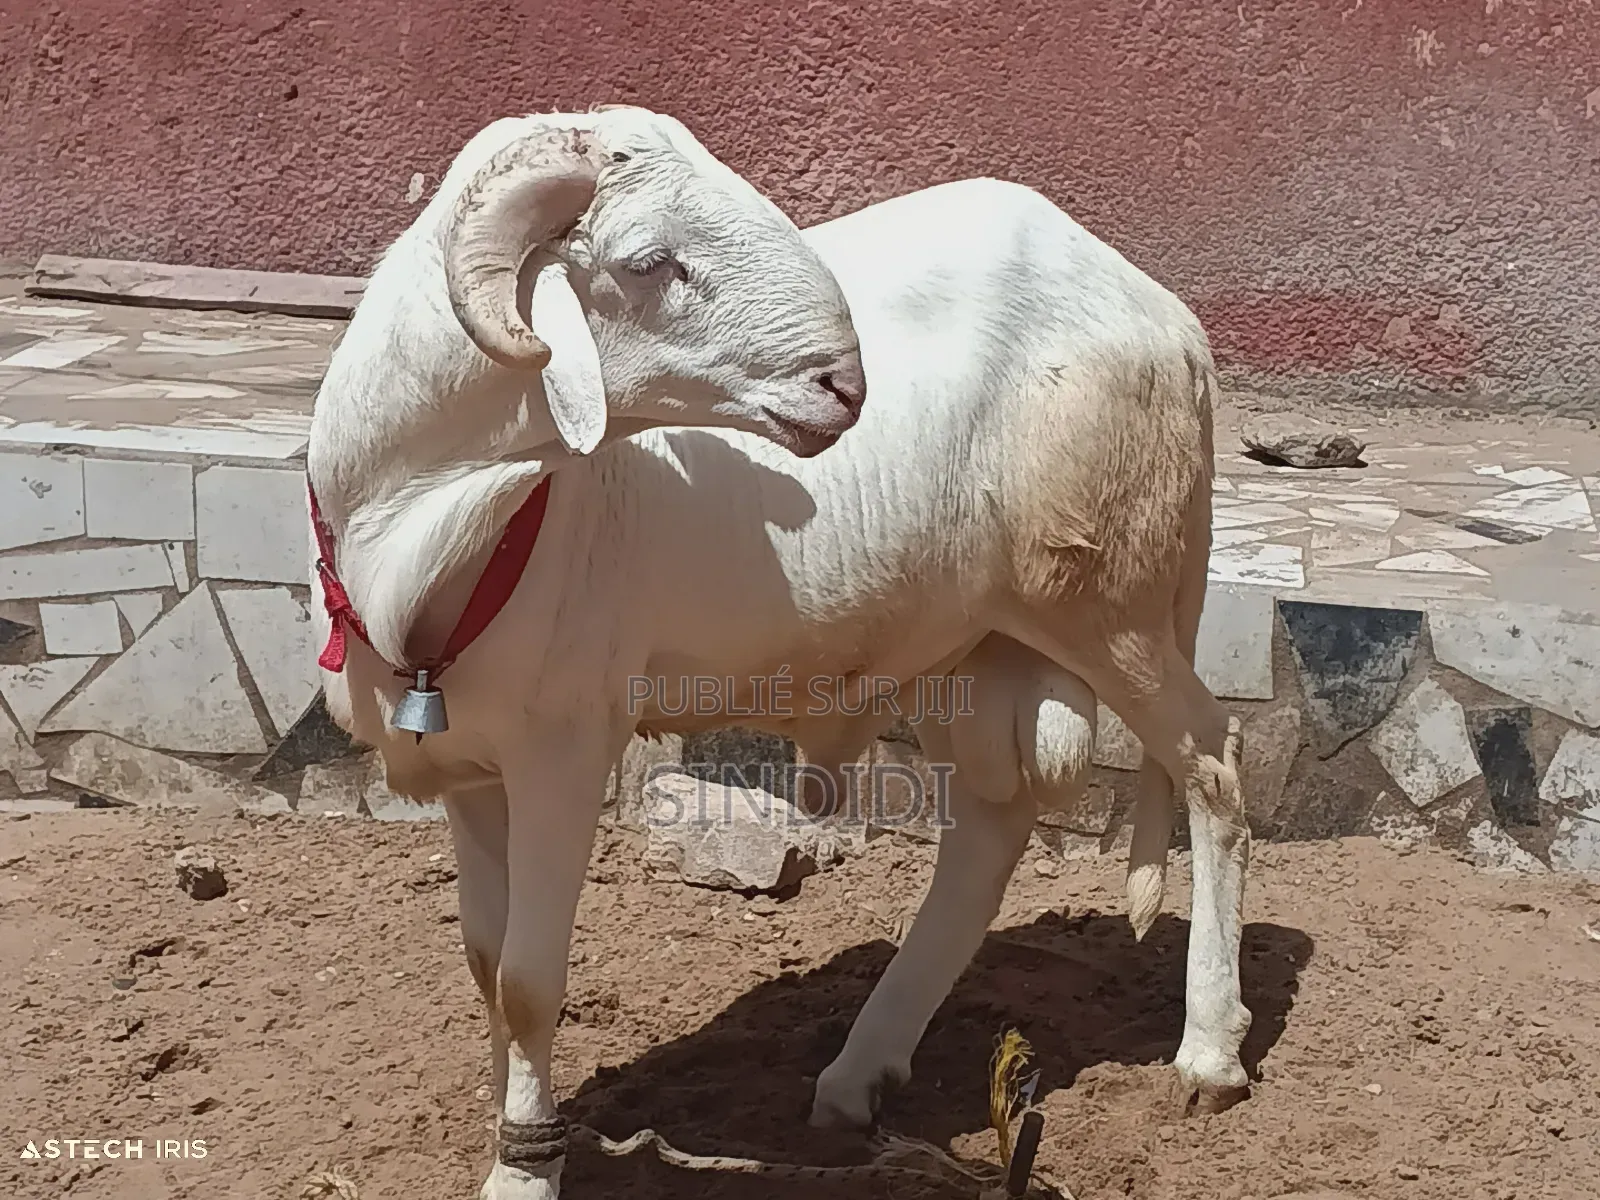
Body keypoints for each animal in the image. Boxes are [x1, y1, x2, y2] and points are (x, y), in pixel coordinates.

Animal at [306, 104, 1249, 1200]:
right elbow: (485, 965)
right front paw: (514, 1130)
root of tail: (1172, 321)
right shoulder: (472, 768)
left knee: (1212, 770)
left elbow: (531, 983)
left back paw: (1209, 1055)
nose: (843, 385)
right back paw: (858, 1074)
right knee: (992, 825)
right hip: (968, 644)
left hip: (1110, 605)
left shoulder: (563, 751)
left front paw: (527, 1168)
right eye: (648, 261)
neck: (425, 522)